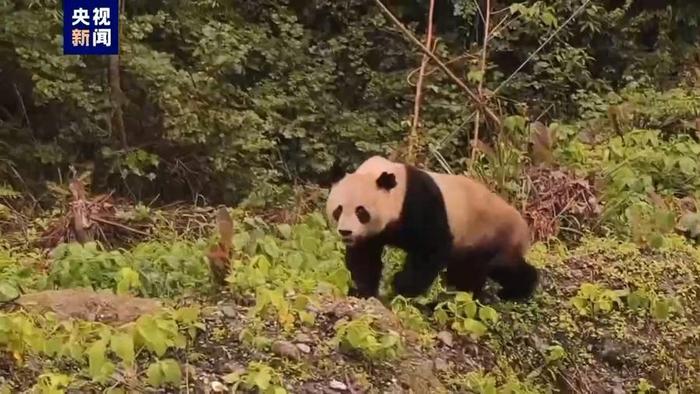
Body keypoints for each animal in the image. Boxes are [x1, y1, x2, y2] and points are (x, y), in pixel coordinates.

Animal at [326, 155, 540, 300]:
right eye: (338, 210)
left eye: (361, 212)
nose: (345, 232)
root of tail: (524, 227)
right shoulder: (371, 234)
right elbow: (364, 257)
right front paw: (363, 291)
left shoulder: (420, 202)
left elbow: (431, 248)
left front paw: (401, 286)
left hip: (492, 233)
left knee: (501, 266)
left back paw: (515, 291)